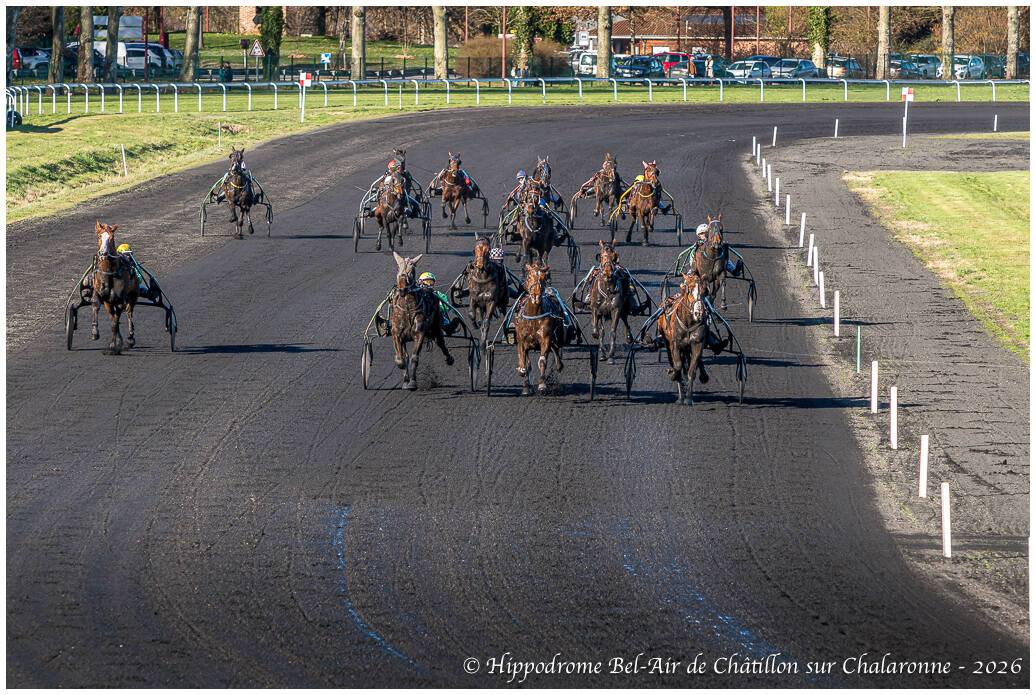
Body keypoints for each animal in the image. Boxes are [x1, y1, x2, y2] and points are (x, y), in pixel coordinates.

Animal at [91, 221, 139, 355]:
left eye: (111, 238)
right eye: (99, 236)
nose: (103, 253)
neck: (109, 274)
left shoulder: (119, 300)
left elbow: (115, 322)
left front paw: (114, 346)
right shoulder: (104, 298)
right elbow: (98, 306)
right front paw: (96, 333)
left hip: (133, 296)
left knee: (129, 312)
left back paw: (130, 338)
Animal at [389, 252, 453, 390]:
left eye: (412, 270)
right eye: (398, 268)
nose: (402, 289)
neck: (407, 308)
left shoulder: (419, 333)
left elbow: (414, 358)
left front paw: (412, 382)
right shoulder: (396, 333)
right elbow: (401, 359)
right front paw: (405, 380)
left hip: (436, 326)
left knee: (440, 341)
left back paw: (449, 358)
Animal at [513, 260, 564, 395]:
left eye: (543, 278)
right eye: (529, 277)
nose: (536, 294)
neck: (533, 317)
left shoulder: (545, 338)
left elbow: (542, 360)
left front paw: (542, 385)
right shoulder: (522, 339)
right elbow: (524, 362)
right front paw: (524, 378)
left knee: (556, 349)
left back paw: (559, 365)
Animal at [657, 270, 712, 405]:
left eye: (705, 291)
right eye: (690, 290)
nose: (699, 313)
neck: (688, 323)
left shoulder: (697, 343)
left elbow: (692, 370)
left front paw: (689, 398)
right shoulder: (675, 344)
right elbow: (677, 365)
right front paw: (674, 377)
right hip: (667, 342)